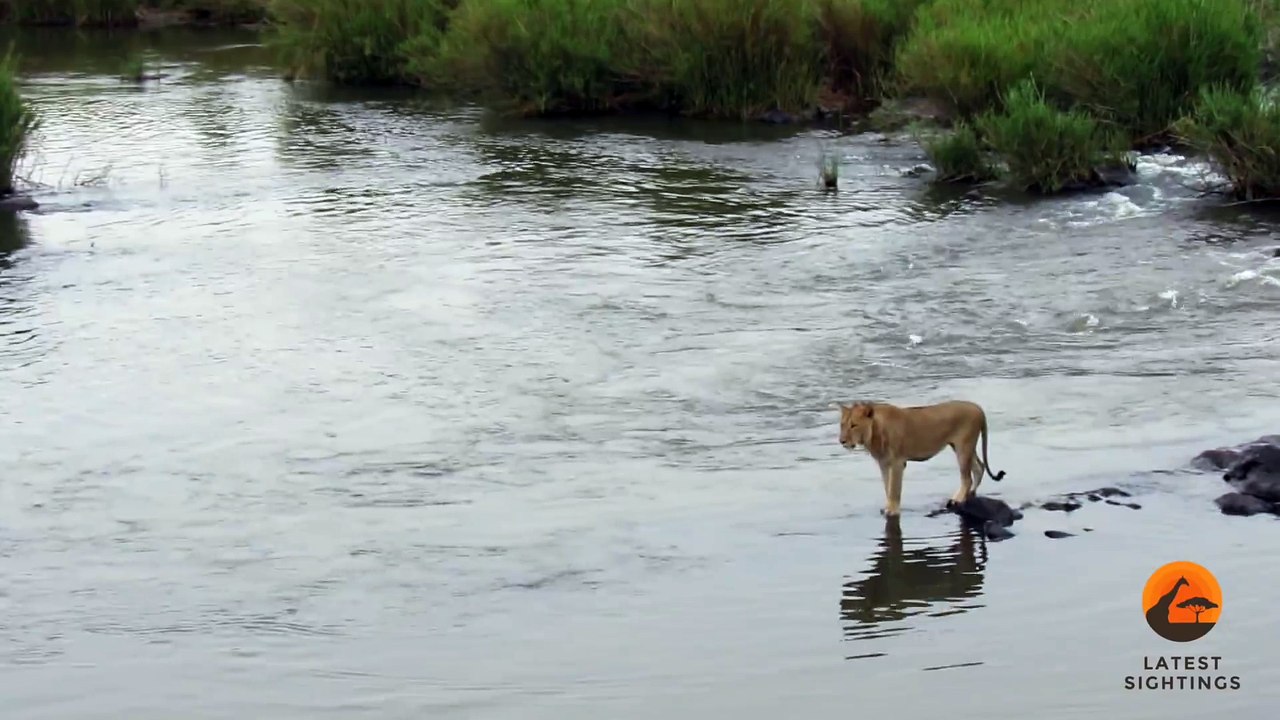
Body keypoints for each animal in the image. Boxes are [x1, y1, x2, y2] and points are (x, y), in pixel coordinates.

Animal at [837, 399, 1006, 517]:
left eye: (853, 425)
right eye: (842, 425)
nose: (842, 441)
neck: (874, 433)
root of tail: (978, 408)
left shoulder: (898, 463)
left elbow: (894, 489)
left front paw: (892, 511)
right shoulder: (884, 463)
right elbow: (887, 486)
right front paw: (888, 507)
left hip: (963, 447)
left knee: (967, 477)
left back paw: (957, 499)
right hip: (962, 447)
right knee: (979, 467)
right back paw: (970, 494)